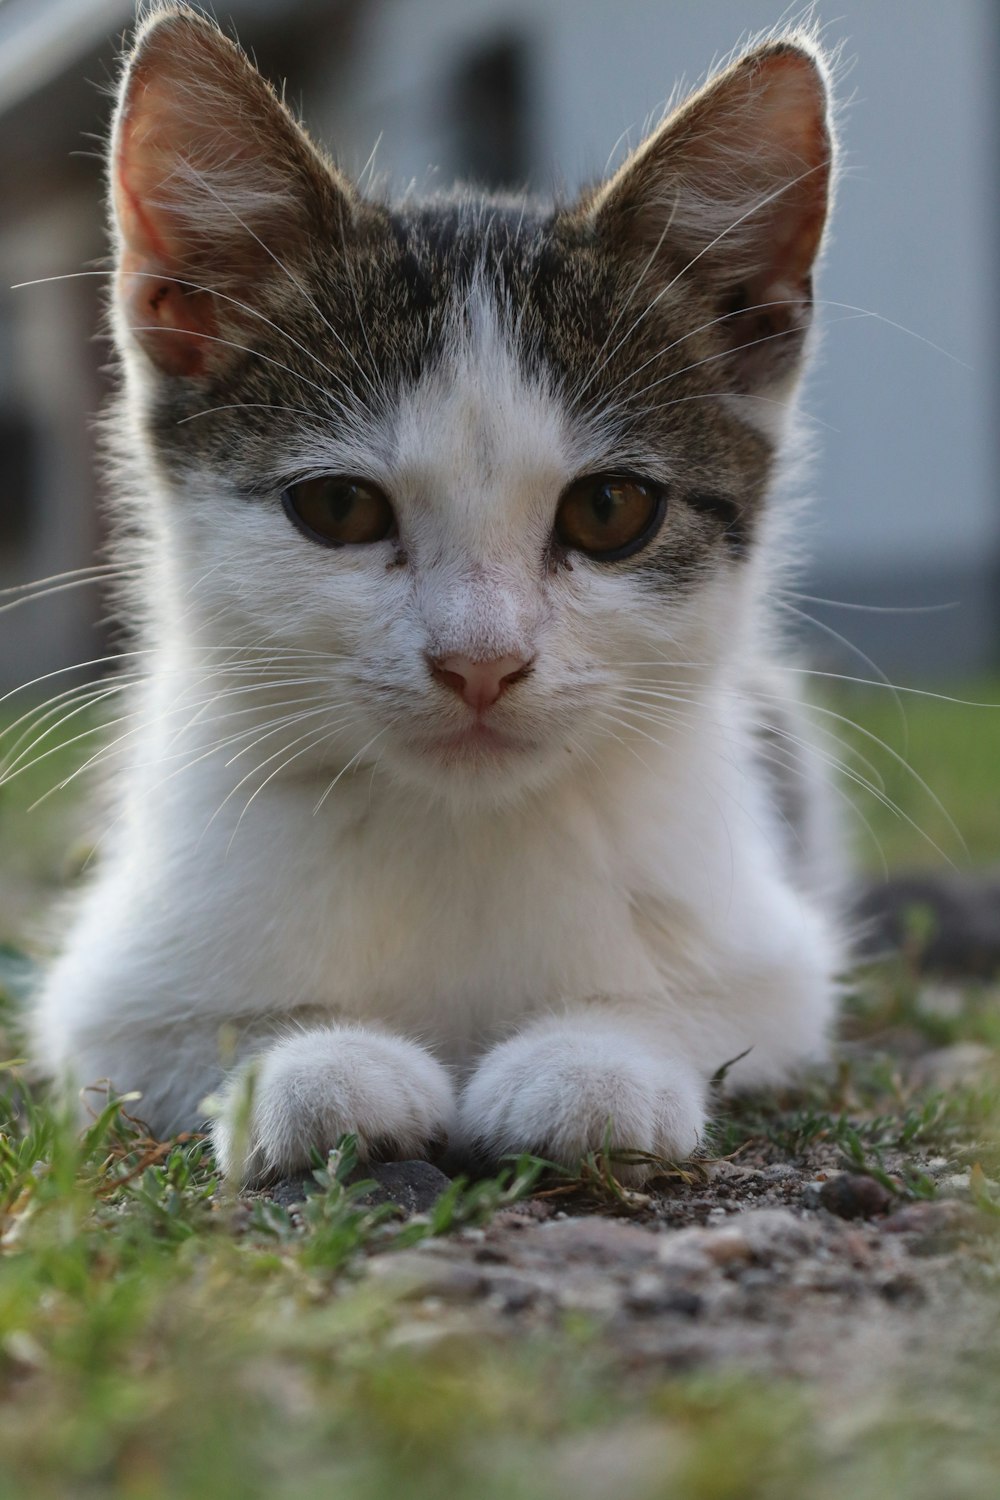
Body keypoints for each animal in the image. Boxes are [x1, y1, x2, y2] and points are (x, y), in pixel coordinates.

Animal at [31, 8, 839, 1182]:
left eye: (610, 510)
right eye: (338, 508)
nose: (481, 662)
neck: (459, 828)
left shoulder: (776, 955)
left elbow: (724, 1003)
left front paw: (597, 1059)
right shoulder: (108, 994)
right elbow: (177, 1030)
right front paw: (312, 1062)